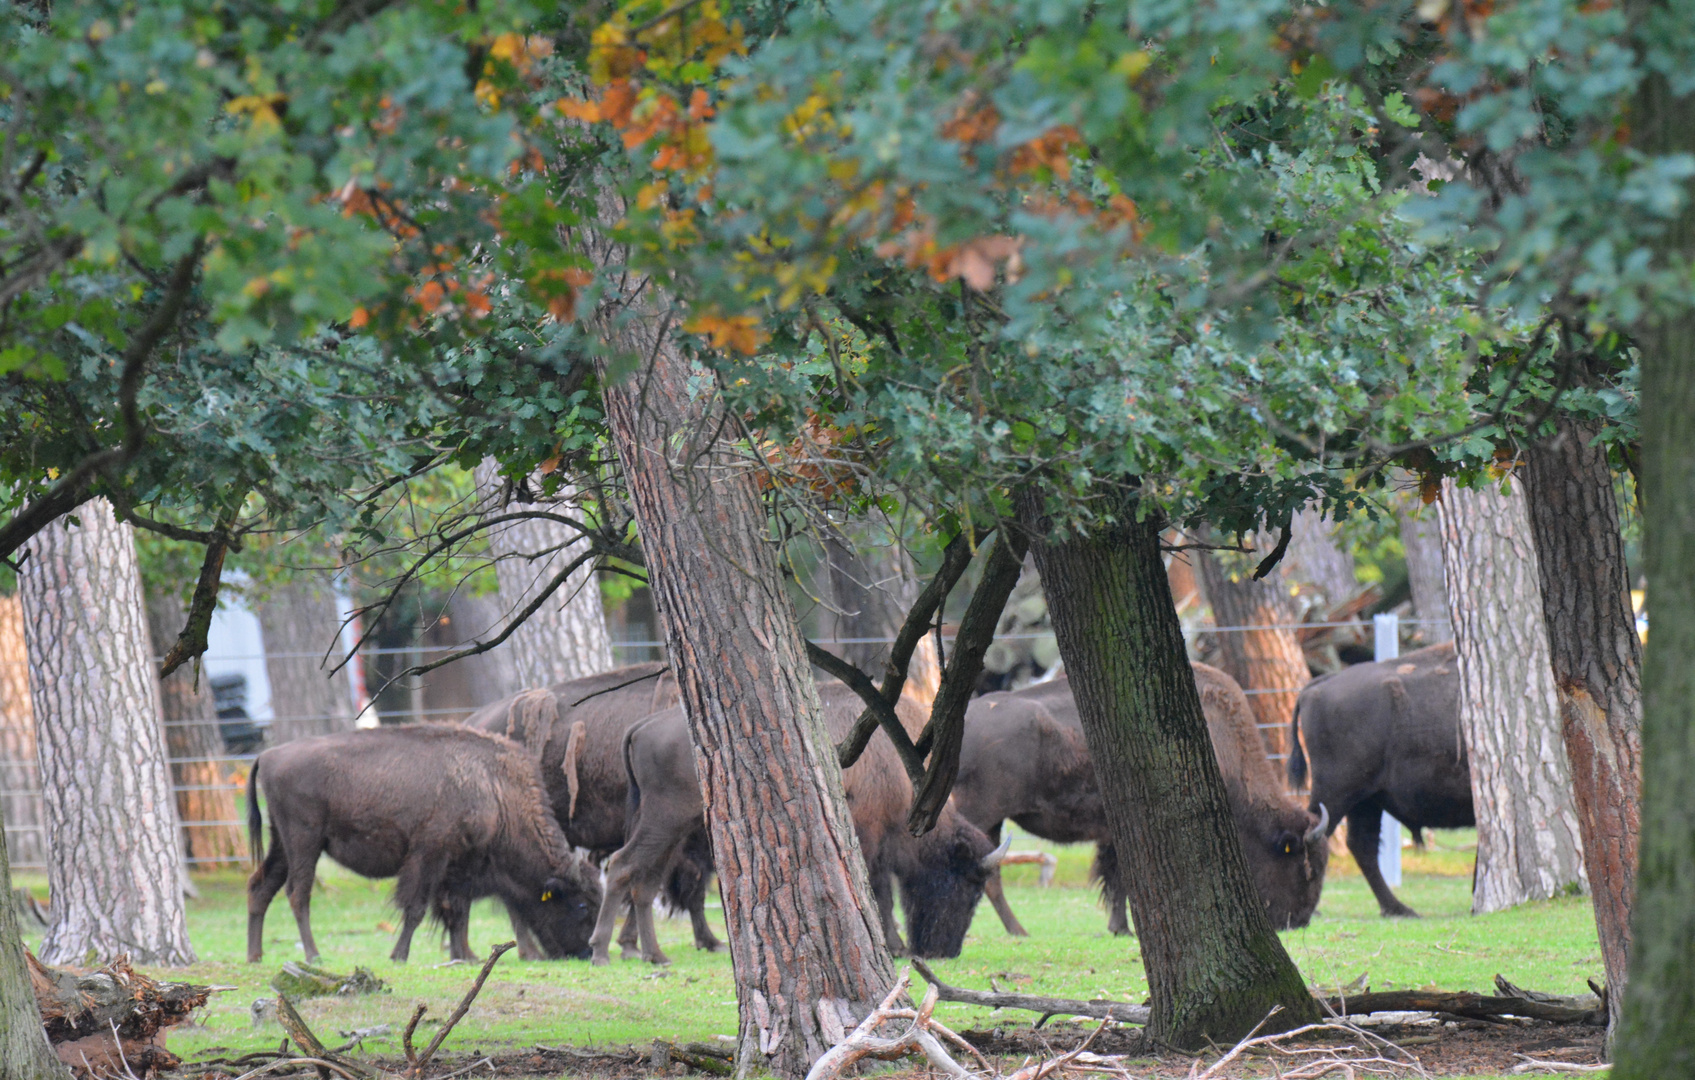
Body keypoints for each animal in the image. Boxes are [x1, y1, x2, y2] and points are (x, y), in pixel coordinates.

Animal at [245, 725, 603, 963]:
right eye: (582, 906)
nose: (586, 952)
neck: (496, 789)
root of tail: (268, 755)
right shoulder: (429, 856)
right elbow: (417, 908)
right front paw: (399, 955)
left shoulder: (462, 866)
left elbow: (457, 911)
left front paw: (466, 956)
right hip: (305, 841)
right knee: (298, 894)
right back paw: (313, 955)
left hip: (282, 843)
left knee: (260, 888)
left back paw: (255, 956)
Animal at [596, 678, 1003, 963]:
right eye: (970, 886)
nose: (946, 951)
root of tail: (643, 726)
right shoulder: (869, 839)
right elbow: (880, 894)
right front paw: (895, 945)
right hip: (664, 819)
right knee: (622, 866)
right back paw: (602, 953)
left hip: (672, 828)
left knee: (645, 882)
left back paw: (652, 955)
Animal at [962, 661, 1328, 929]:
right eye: (1305, 869)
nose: (1299, 921)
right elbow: (1121, 880)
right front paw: (1122, 928)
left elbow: (1116, 880)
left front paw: (1119, 927)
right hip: (981, 817)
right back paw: (1018, 931)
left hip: (993, 823)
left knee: (992, 873)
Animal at [1281, 644, 1471, 915]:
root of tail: (1318, 686)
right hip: (1338, 792)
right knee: (1320, 834)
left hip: (1366, 799)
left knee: (1361, 845)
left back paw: (1398, 908)